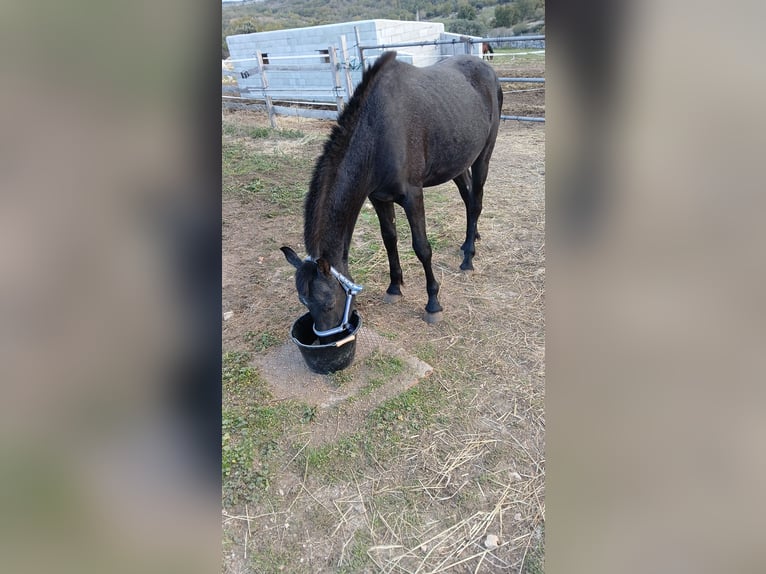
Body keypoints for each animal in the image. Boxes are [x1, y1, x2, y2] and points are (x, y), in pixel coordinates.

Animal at [282, 51, 504, 340]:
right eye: (304, 302)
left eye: (329, 303)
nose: (331, 340)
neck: (378, 132)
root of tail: (488, 70)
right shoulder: (379, 198)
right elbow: (389, 239)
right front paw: (394, 287)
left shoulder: (413, 196)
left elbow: (422, 248)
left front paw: (433, 304)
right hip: (457, 163)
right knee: (468, 201)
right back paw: (470, 240)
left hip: (483, 157)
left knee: (476, 202)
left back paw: (468, 258)